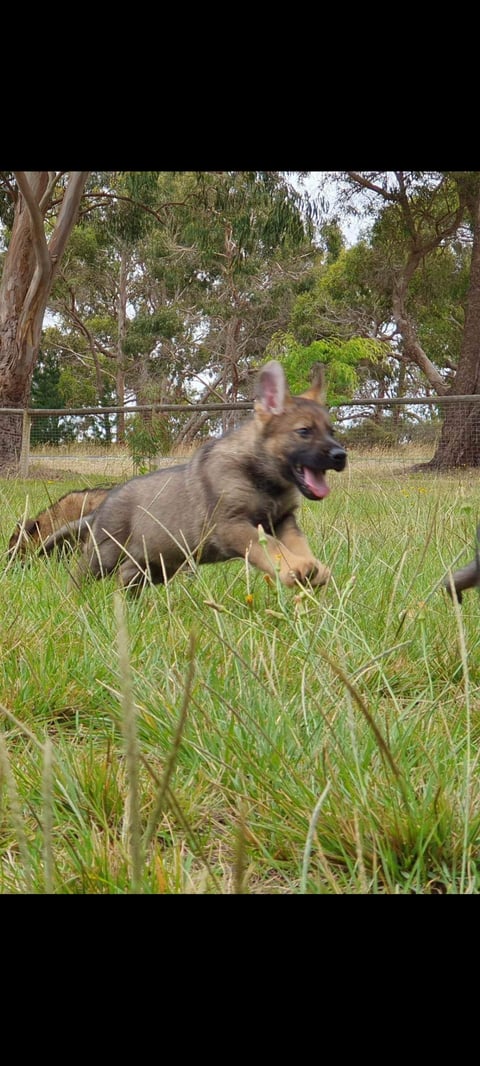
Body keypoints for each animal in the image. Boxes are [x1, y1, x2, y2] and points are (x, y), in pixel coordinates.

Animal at [41, 362, 347, 596]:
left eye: (331, 431)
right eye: (304, 431)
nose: (340, 455)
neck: (261, 476)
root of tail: (103, 506)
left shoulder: (284, 520)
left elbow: (296, 544)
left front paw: (312, 566)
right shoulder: (232, 526)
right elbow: (270, 546)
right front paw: (295, 568)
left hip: (158, 563)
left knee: (128, 577)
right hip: (105, 554)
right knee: (81, 575)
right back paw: (72, 601)